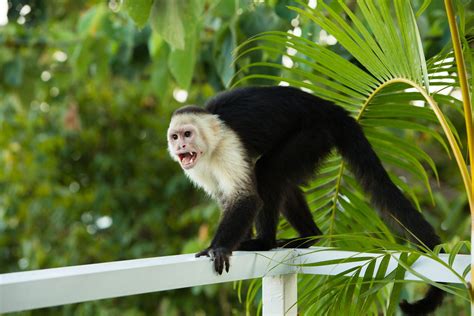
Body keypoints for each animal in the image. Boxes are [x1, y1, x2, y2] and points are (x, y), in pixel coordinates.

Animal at [168, 85, 444, 314]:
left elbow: (246, 198)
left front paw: (219, 248)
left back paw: (265, 242)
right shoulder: (200, 168)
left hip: (315, 132)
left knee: (268, 172)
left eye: (188, 134)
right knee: (283, 181)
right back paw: (309, 236)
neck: (210, 146)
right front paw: (234, 242)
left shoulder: (226, 146)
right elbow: (228, 199)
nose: (180, 147)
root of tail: (326, 106)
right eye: (175, 137)